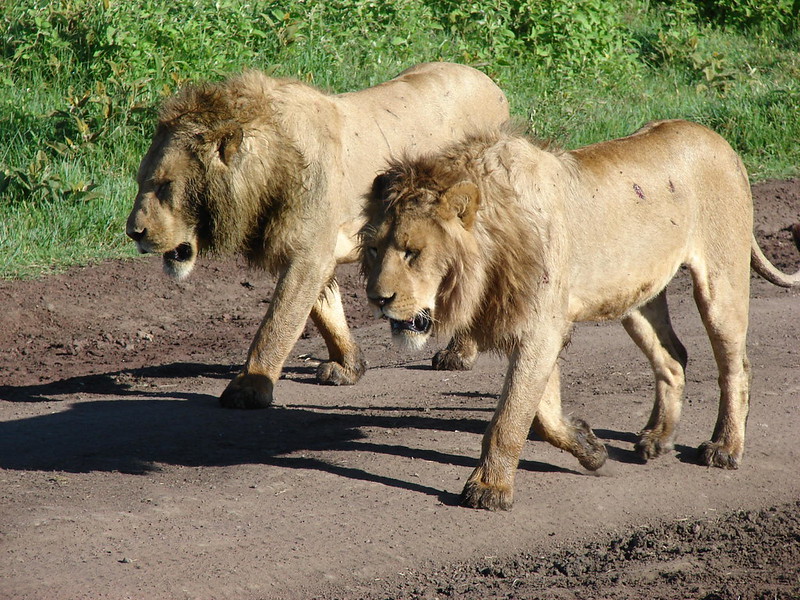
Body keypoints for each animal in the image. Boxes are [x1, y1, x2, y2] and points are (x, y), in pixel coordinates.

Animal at [128, 62, 510, 408]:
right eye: (140, 181)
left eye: (165, 185)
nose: (133, 232)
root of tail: (491, 83)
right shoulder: (308, 251)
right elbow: (326, 313)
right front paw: (349, 367)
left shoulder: (308, 253)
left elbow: (278, 323)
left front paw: (249, 388)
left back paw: (459, 354)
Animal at [360, 120, 800, 510]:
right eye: (375, 249)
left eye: (413, 252)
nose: (377, 298)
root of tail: (722, 142)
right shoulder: (535, 324)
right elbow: (542, 413)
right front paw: (589, 447)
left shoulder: (541, 327)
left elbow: (509, 418)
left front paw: (489, 489)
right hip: (635, 299)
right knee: (673, 357)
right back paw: (657, 437)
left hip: (721, 281)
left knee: (735, 367)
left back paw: (725, 447)